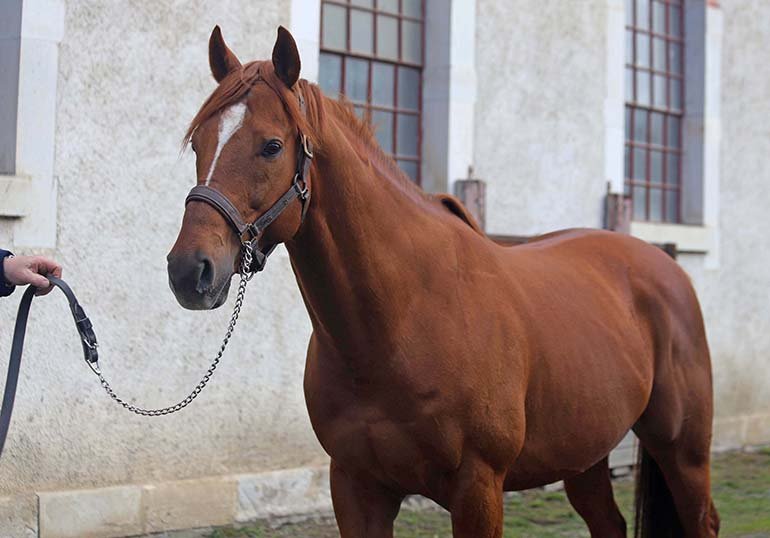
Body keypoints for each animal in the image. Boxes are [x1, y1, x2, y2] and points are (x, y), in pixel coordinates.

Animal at [166, 26, 720, 538]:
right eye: (199, 144)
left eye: (272, 146)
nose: (189, 270)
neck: (403, 318)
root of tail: (666, 268)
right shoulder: (356, 487)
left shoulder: (478, 489)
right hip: (584, 455)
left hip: (682, 451)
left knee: (703, 518)